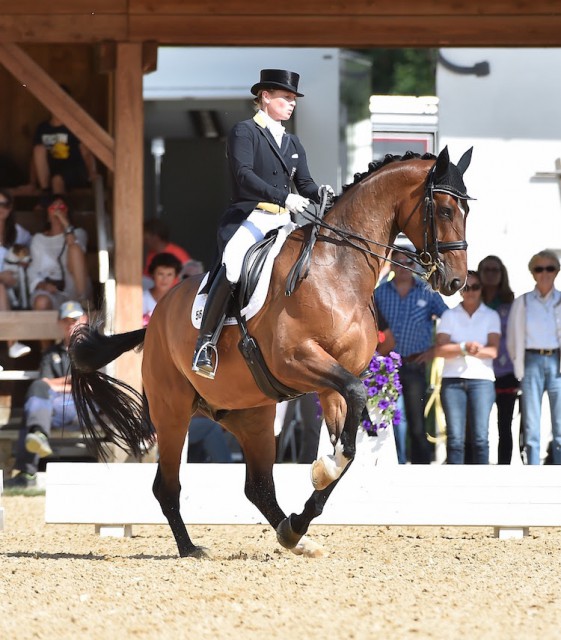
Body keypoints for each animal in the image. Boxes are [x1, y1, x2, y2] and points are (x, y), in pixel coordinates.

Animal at [69, 147, 473, 558]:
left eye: (466, 211)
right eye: (444, 210)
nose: (456, 281)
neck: (338, 270)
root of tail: (154, 322)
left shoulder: (331, 384)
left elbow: (348, 444)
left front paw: (313, 491)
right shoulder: (297, 360)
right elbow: (355, 408)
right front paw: (324, 468)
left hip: (251, 416)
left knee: (258, 486)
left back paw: (292, 534)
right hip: (173, 412)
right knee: (167, 486)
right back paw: (191, 549)